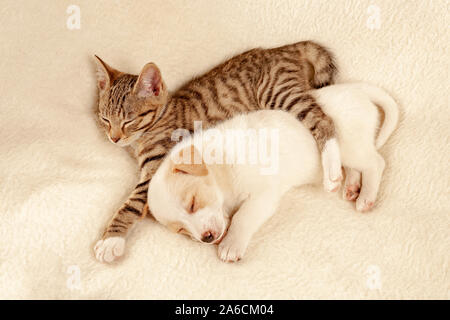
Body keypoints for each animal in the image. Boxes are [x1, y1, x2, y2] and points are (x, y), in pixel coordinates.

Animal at [95, 41, 342, 264]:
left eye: (128, 121)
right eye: (105, 119)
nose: (114, 138)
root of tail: (280, 49)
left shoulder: (158, 164)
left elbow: (131, 204)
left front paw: (111, 240)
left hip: (277, 93)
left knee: (323, 121)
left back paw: (332, 171)